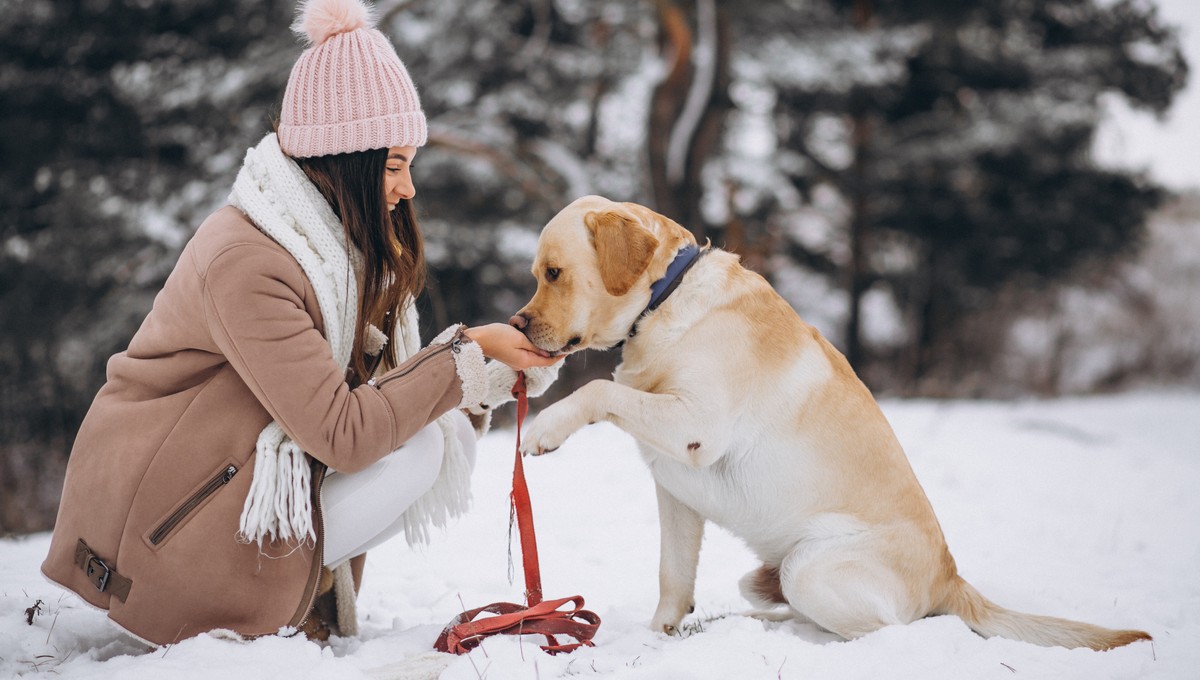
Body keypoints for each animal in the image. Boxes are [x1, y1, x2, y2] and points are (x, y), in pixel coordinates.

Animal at [513, 194, 1152, 652]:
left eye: (554, 273)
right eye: (538, 274)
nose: (517, 325)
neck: (663, 302)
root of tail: (952, 578)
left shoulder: (698, 425)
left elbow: (599, 388)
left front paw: (545, 429)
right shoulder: (676, 494)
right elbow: (673, 578)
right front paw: (657, 641)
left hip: (809, 569)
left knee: (889, 631)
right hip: (771, 575)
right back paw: (745, 621)